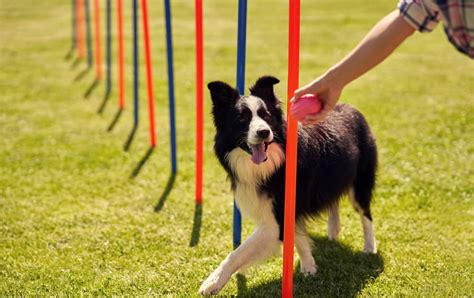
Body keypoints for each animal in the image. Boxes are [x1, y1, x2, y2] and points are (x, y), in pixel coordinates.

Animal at [200, 75, 378, 294]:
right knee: (333, 201)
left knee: (365, 214)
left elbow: (238, 252)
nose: (263, 132)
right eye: (242, 118)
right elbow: (298, 237)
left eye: (266, 115)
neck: (271, 165)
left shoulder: (276, 219)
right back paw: (333, 230)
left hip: (361, 181)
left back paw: (369, 247)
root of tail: (352, 108)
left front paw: (212, 282)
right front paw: (309, 266)